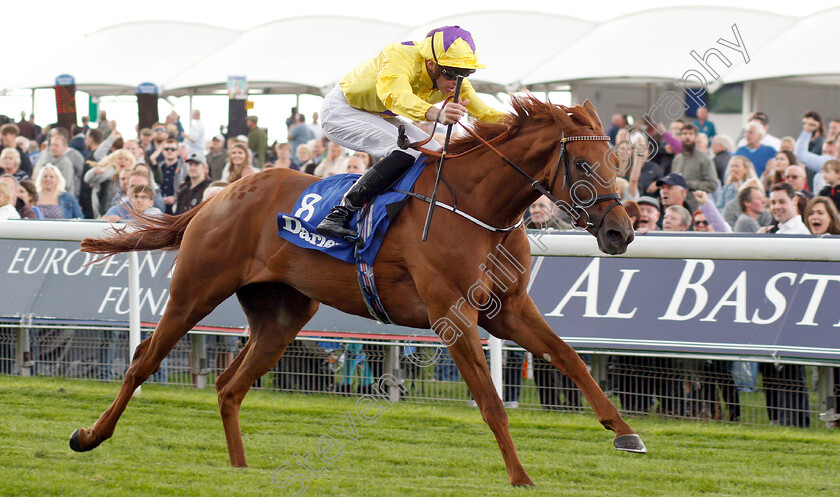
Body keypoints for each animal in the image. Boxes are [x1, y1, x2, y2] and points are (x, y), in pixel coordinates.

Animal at [72, 95, 648, 486]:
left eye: (619, 165)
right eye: (585, 165)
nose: (620, 233)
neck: (478, 207)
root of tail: (219, 194)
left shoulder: (507, 309)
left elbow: (568, 357)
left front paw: (624, 430)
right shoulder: (453, 314)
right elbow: (490, 401)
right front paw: (521, 476)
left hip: (281, 316)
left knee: (229, 386)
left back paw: (241, 471)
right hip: (196, 290)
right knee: (144, 360)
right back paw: (89, 436)